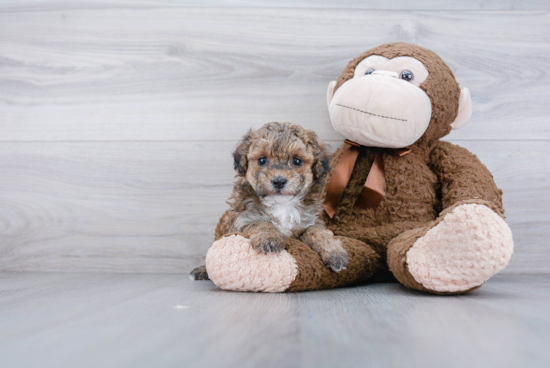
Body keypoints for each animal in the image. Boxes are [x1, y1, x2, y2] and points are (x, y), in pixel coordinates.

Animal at [192, 122, 350, 280]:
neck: (282, 205)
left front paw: (334, 251)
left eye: (297, 161)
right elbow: (260, 223)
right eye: (262, 160)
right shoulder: (243, 218)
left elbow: (319, 232)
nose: (279, 181)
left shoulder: (311, 221)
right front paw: (269, 238)